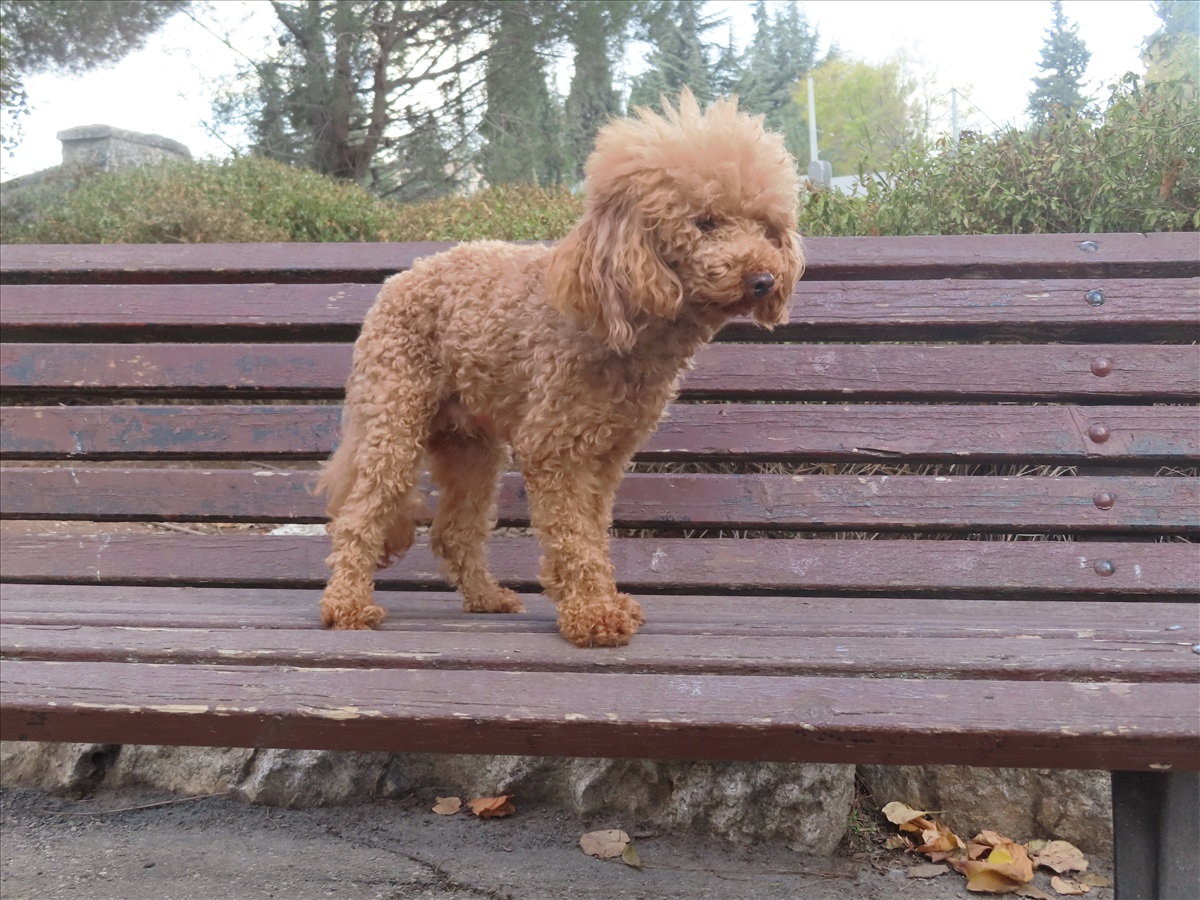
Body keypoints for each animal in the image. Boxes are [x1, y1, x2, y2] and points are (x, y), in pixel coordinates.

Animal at [319, 91, 801, 648]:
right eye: (704, 222)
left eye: (765, 227)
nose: (764, 279)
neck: (620, 320)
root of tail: (397, 281)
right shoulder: (556, 448)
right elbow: (574, 537)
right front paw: (593, 613)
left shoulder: (606, 456)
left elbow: (592, 532)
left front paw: (605, 601)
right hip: (394, 422)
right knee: (358, 516)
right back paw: (347, 605)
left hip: (470, 446)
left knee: (455, 530)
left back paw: (486, 598)